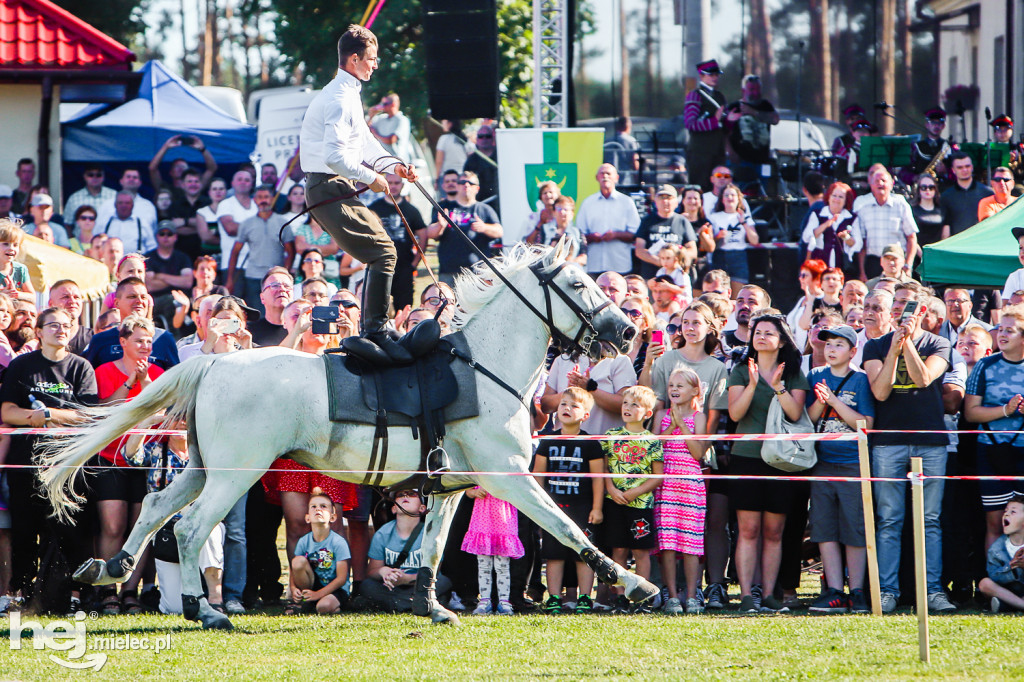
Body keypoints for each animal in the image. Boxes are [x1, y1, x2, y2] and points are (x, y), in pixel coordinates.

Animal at [37, 238, 655, 626]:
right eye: (578, 283)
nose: (627, 332)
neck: (486, 368)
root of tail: (214, 362)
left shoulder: (450, 486)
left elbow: (431, 548)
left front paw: (432, 607)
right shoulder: (508, 478)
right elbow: (570, 530)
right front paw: (635, 585)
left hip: (202, 466)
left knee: (156, 507)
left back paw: (111, 568)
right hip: (237, 473)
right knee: (190, 530)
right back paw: (204, 610)